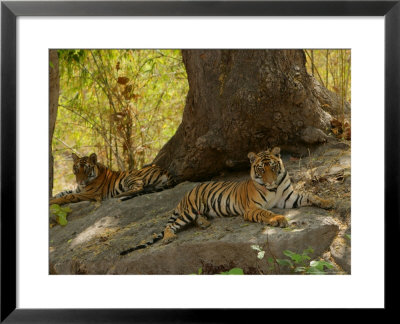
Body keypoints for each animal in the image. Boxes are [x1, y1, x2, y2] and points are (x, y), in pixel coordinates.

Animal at [119, 147, 334, 256]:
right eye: (261, 169)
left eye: (273, 167)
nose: (270, 181)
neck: (274, 189)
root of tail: (186, 193)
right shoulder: (252, 208)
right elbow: (267, 212)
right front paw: (279, 219)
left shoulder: (289, 198)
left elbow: (310, 195)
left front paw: (327, 201)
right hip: (189, 210)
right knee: (170, 226)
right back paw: (169, 237)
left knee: (194, 219)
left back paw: (204, 223)